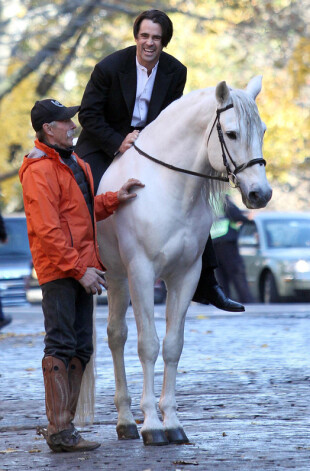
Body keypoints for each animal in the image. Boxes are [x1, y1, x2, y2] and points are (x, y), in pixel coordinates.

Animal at [96, 74, 272, 446]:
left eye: (262, 131)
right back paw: (124, 420)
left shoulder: (185, 276)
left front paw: (172, 422)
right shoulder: (142, 273)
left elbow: (173, 346)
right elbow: (148, 344)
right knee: (115, 336)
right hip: (118, 277)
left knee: (119, 335)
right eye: (231, 133)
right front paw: (152, 425)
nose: (260, 194)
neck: (167, 187)